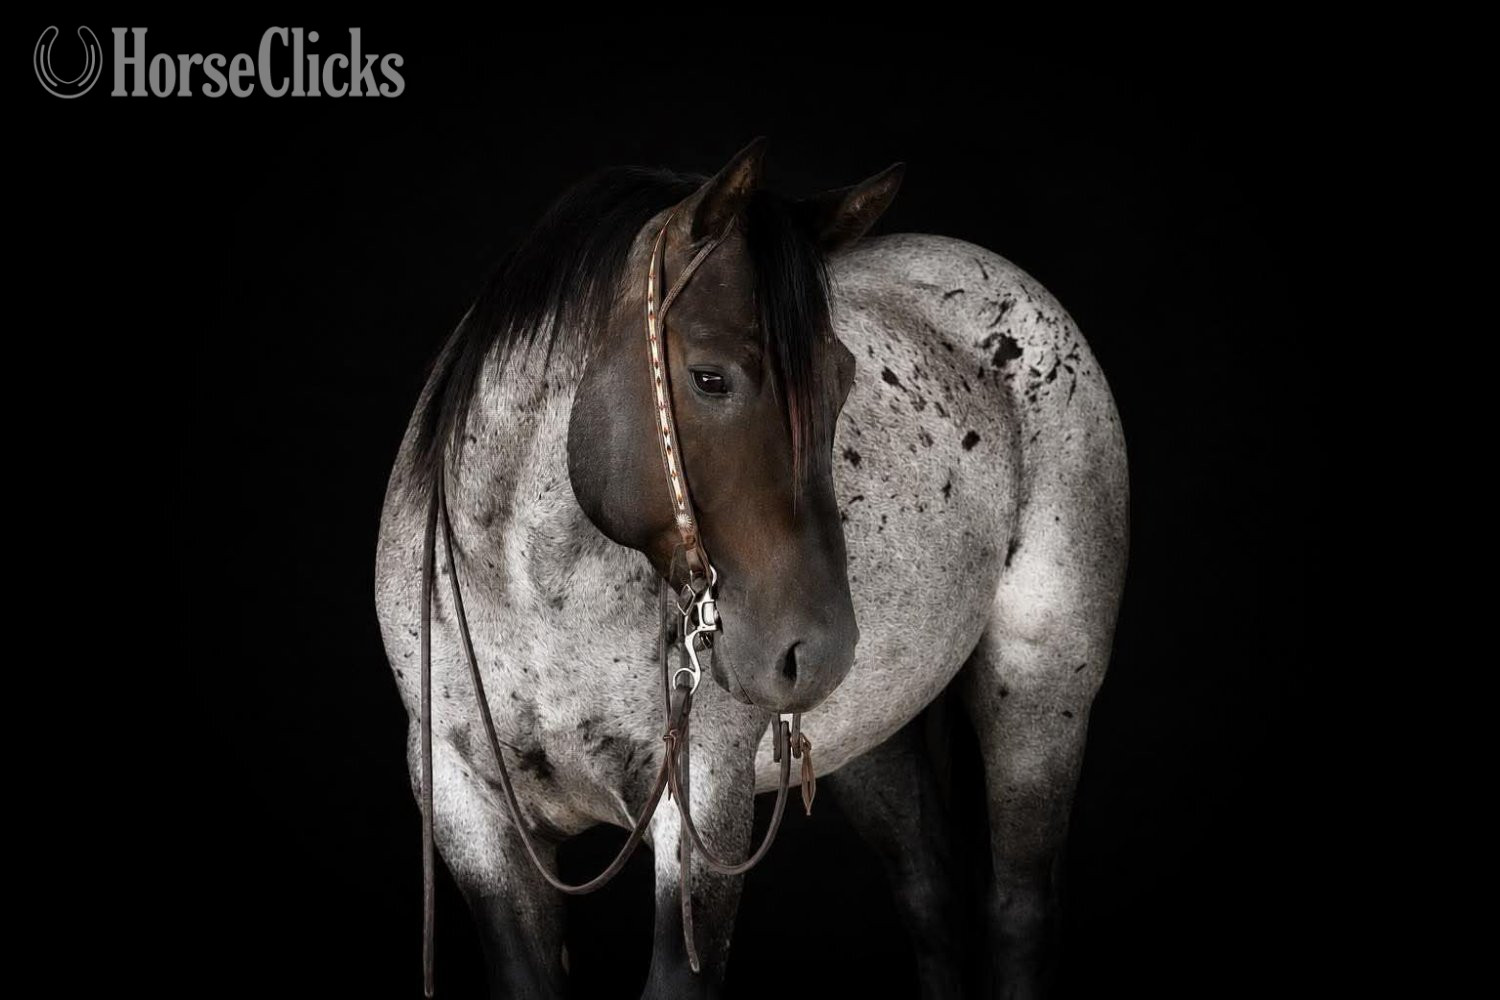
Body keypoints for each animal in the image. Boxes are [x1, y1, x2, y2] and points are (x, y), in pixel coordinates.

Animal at [375, 138, 1129, 998]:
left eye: (841, 378)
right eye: (710, 377)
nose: (818, 650)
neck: (533, 595)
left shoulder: (701, 805)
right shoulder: (470, 814)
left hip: (1040, 693)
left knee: (1018, 912)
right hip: (870, 740)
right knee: (931, 900)